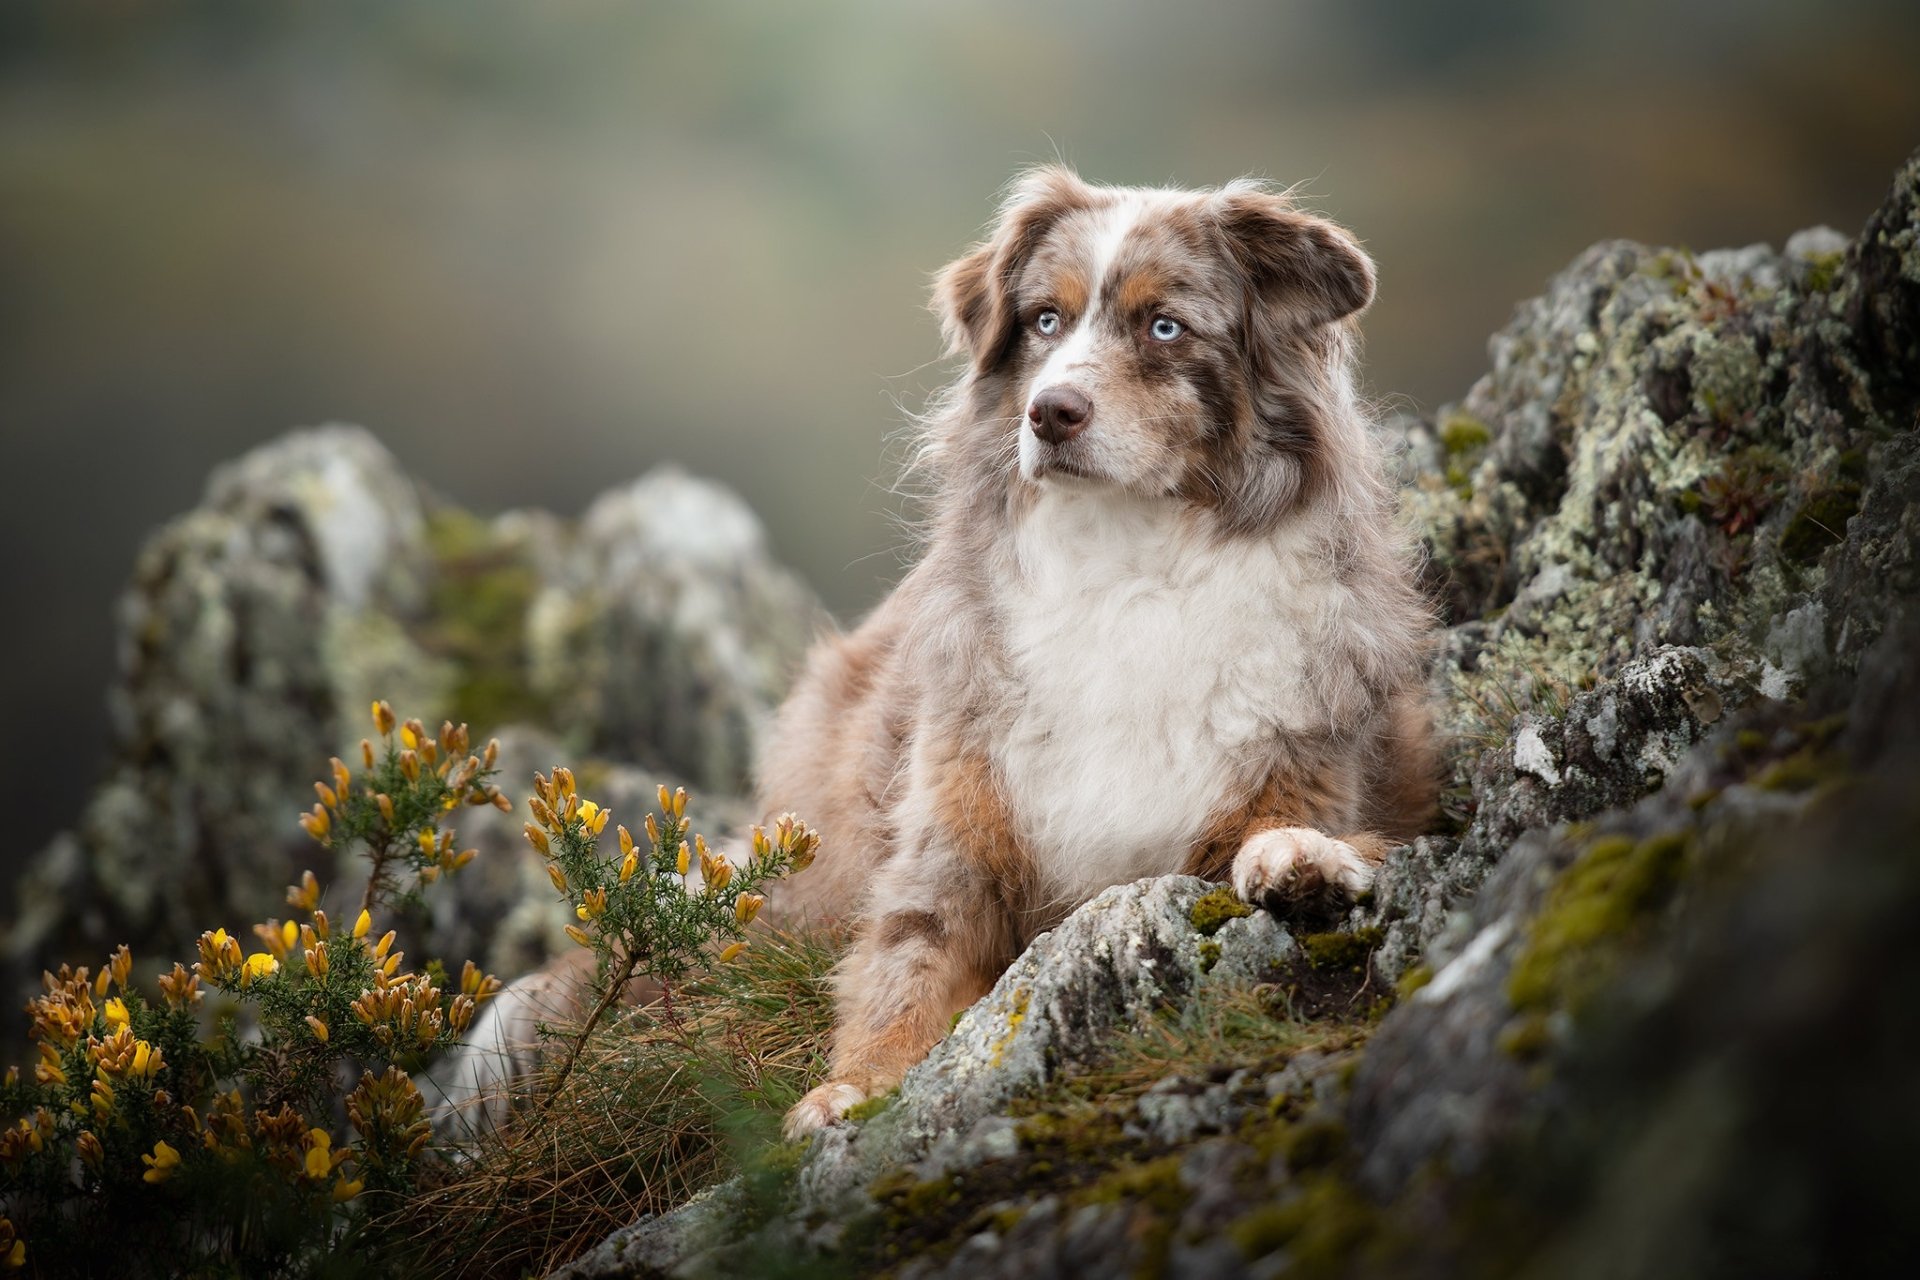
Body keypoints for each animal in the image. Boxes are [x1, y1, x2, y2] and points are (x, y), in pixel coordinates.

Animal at [771, 165, 1436, 1136]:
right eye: (1045, 320)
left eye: (1164, 326)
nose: (1051, 413)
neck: (1127, 559)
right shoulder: (953, 834)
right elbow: (908, 961)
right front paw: (851, 1091)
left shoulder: (1307, 764)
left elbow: (1310, 834)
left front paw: (1300, 859)